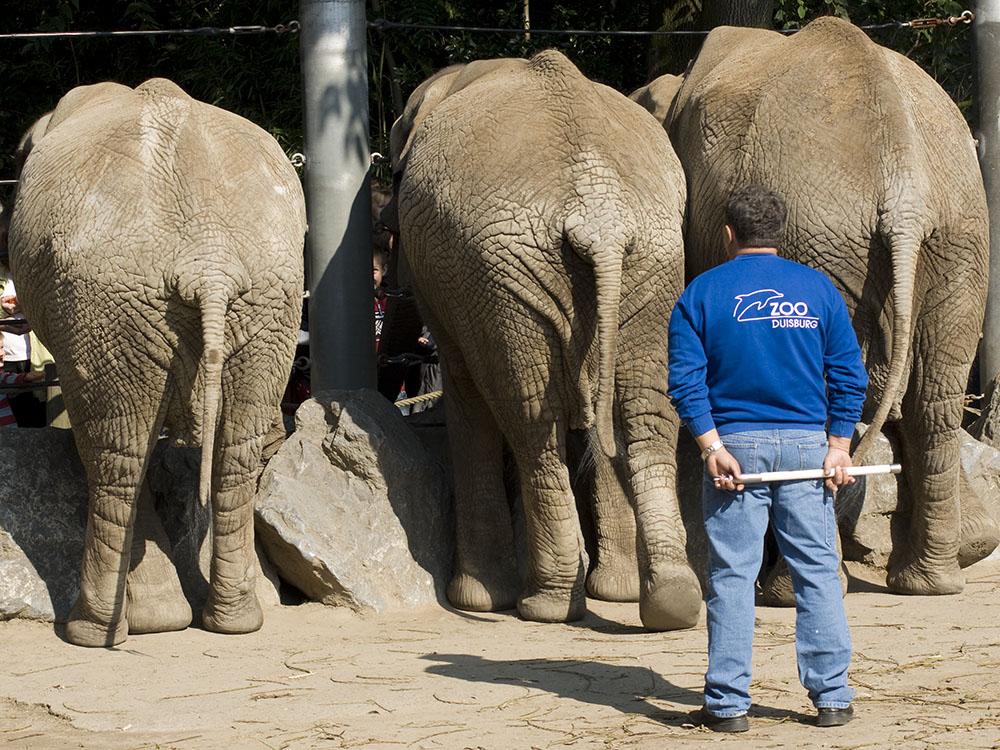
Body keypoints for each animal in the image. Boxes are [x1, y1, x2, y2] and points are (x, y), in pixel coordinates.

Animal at [6, 79, 304, 648]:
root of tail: (208, 261)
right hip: (267, 297)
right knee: (237, 453)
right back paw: (234, 622)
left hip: (106, 302)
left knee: (116, 456)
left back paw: (90, 631)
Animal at [386, 50, 700, 632]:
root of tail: (598, 212)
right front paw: (616, 593)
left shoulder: (457, 285)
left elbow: (467, 393)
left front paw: (477, 601)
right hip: (652, 259)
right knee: (641, 409)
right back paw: (668, 602)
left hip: (504, 270)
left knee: (532, 417)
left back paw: (545, 607)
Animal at [636, 14, 996, 596]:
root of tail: (907, 188)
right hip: (956, 233)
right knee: (934, 397)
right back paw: (929, 582)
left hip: (838, 231)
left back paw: (791, 589)